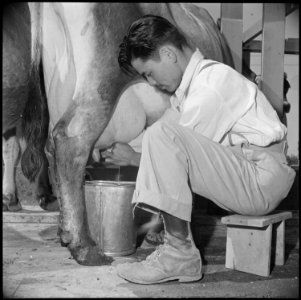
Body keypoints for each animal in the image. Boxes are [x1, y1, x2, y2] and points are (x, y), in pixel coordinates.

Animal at [3, 2, 236, 264]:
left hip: (58, 83)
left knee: (52, 149)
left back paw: (64, 229)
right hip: (102, 80)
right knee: (71, 139)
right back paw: (84, 246)